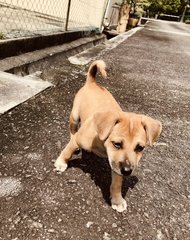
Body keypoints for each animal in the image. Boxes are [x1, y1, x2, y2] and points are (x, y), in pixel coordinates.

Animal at [54, 59, 162, 212]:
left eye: (140, 148)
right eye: (117, 144)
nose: (128, 171)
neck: (102, 143)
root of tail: (92, 82)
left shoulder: (117, 163)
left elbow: (116, 183)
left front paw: (117, 200)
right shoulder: (80, 139)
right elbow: (67, 151)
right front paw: (61, 163)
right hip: (74, 117)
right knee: (72, 133)